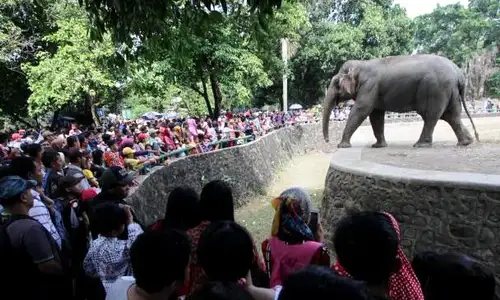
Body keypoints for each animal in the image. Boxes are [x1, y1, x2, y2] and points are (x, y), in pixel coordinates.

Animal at [322, 54, 478, 148]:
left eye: (336, 83)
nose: (328, 142)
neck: (361, 65)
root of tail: (459, 73)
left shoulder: (369, 86)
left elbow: (361, 110)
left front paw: (342, 146)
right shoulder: (374, 90)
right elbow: (376, 115)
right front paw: (378, 146)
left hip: (436, 90)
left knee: (431, 116)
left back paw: (420, 145)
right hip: (450, 91)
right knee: (452, 116)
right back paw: (466, 142)